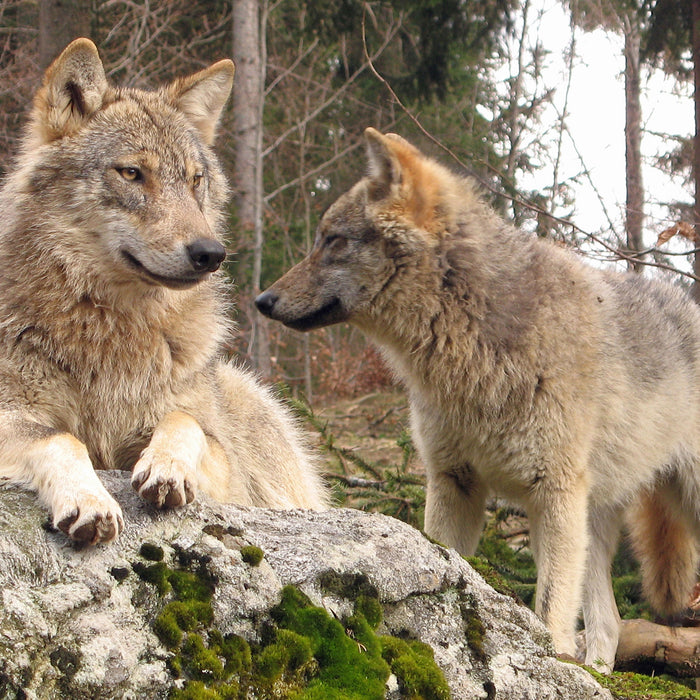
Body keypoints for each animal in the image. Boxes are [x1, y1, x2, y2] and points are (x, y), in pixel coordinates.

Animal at [0, 37, 328, 548]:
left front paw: (168, 467)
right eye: (133, 173)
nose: (211, 253)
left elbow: (185, 422)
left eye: (195, 180)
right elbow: (60, 438)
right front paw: (88, 499)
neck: (111, 326)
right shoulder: (14, 414)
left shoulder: (223, 466)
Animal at [258, 127, 700, 672]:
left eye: (332, 240)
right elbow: (449, 566)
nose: (262, 301)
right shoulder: (455, 482)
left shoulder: (552, 495)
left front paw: (548, 662)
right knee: (609, 624)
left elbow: (550, 608)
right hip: (594, 525)